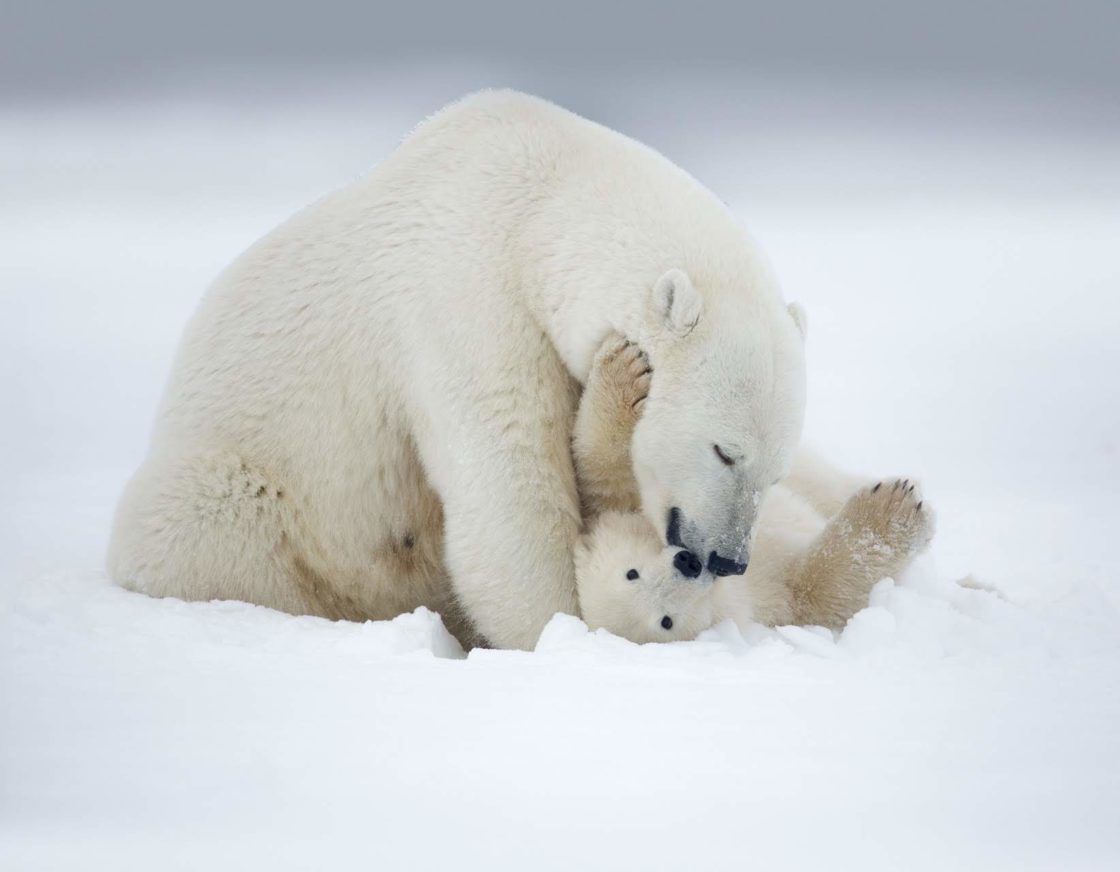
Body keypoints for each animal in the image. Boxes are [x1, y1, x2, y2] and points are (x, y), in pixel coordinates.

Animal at [106, 90, 806, 649]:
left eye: (774, 472)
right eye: (724, 451)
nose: (726, 559)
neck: (539, 203)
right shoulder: (467, 300)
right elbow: (508, 487)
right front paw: (561, 630)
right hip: (245, 488)